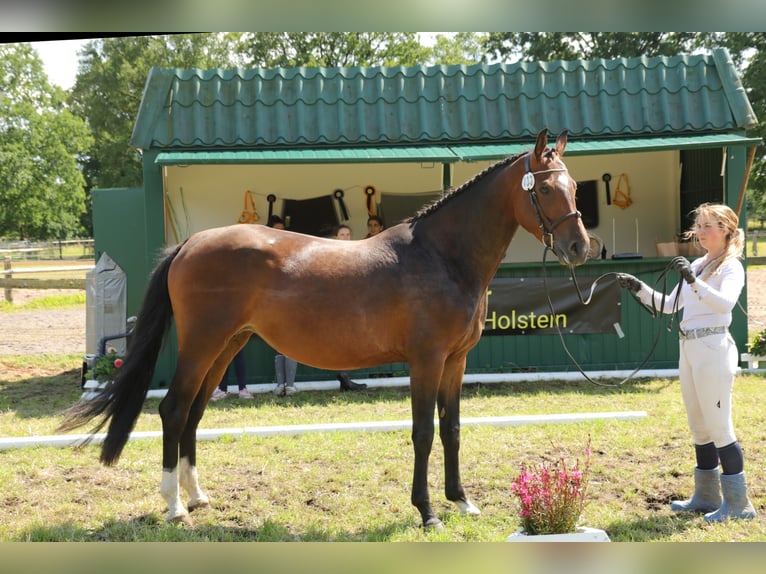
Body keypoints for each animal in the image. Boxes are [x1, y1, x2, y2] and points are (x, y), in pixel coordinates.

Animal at [61, 129, 588, 532]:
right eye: (544, 191)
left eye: (577, 189)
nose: (581, 247)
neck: (442, 256)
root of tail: (190, 242)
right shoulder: (426, 360)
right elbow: (423, 432)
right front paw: (427, 512)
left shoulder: (455, 362)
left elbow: (452, 429)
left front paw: (462, 501)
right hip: (201, 344)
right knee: (172, 410)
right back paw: (174, 506)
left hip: (226, 346)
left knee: (192, 413)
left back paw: (197, 496)